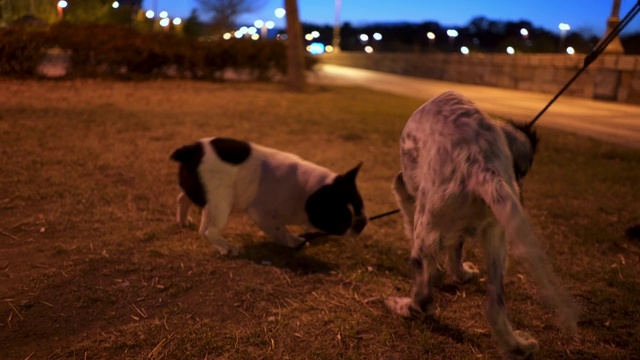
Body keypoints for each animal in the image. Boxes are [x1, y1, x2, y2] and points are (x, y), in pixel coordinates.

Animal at [170, 136, 368, 255]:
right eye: (341, 220)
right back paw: (228, 248)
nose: (361, 223)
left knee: (185, 201)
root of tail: (191, 150)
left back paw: (184, 222)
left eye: (361, 206)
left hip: (206, 197)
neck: (310, 189)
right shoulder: (264, 215)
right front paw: (293, 242)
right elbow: (281, 230)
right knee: (208, 230)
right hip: (221, 203)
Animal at [384, 92, 580, 358]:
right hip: (497, 238)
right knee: (494, 305)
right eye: (519, 173)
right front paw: (462, 273)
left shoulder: (404, 186)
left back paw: (402, 306)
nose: (521, 196)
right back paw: (518, 346)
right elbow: (456, 252)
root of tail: (480, 165)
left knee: (423, 298)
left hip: (427, 224)